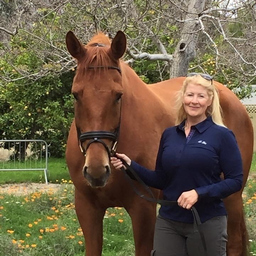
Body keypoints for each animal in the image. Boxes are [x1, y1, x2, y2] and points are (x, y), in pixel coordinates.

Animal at [65, 30, 253, 256]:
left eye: (118, 95)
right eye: (76, 94)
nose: (96, 170)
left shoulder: (143, 210)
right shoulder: (87, 209)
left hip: (231, 197)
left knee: (233, 243)